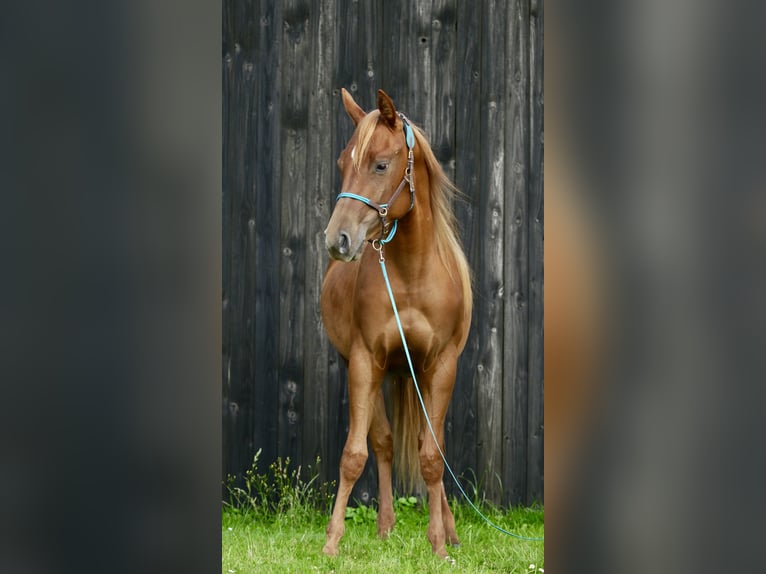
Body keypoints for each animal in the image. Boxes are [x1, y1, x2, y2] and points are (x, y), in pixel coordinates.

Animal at [320, 90, 474, 564]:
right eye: (342, 162)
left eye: (381, 165)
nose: (338, 240)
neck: (411, 274)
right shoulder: (364, 362)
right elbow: (355, 454)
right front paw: (332, 542)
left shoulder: (441, 366)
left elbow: (432, 458)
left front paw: (439, 545)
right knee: (385, 443)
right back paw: (385, 527)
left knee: (430, 443)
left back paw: (450, 530)